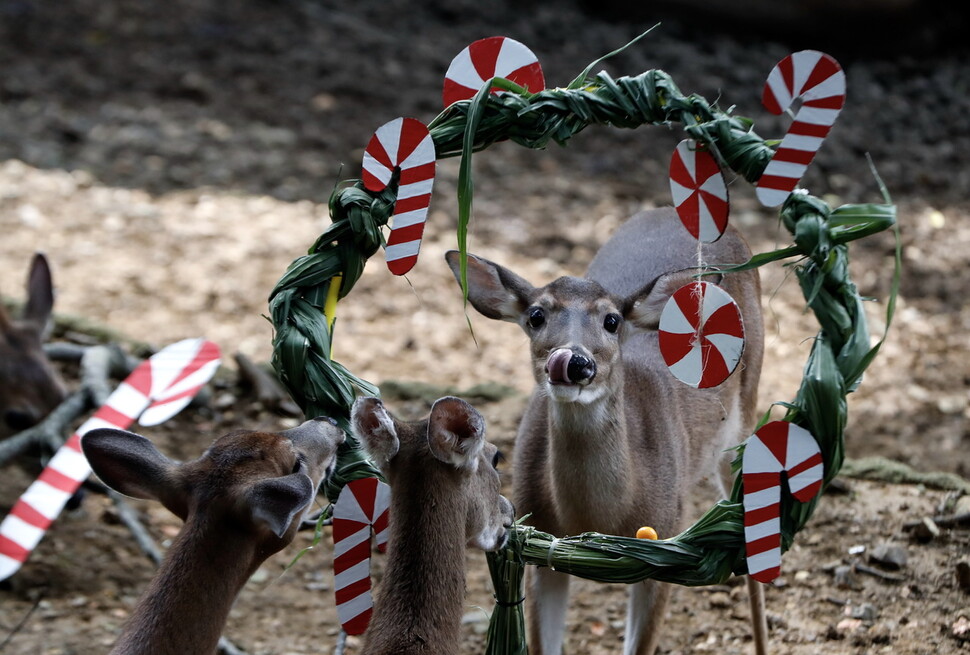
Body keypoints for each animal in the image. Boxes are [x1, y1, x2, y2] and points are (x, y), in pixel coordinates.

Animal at [448, 208, 772, 655]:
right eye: (536, 316)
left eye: (612, 320)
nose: (574, 362)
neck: (602, 517)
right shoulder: (536, 545)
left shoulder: (667, 540)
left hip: (744, 413)